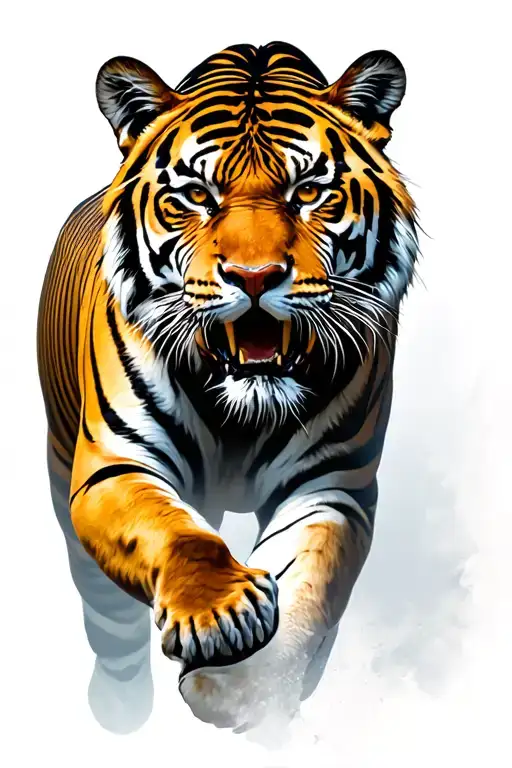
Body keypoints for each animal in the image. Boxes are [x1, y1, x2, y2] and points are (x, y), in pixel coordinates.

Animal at [37, 41, 418, 734]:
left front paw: (248, 686)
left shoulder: (331, 484)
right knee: (107, 622)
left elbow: (310, 577)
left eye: (308, 191)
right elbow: (176, 532)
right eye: (196, 195)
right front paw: (218, 611)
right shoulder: (118, 462)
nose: (255, 275)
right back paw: (118, 714)